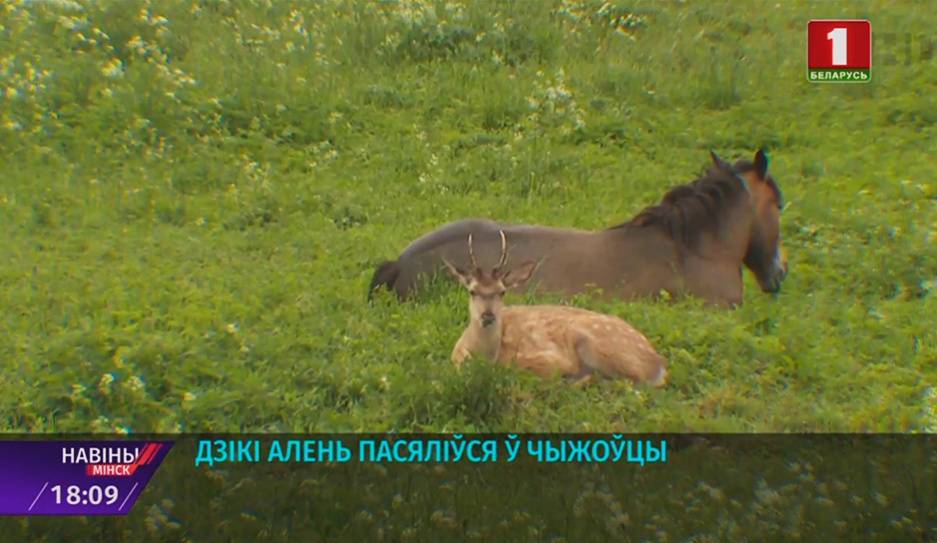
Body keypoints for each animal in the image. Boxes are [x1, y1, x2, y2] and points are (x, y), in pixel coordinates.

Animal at [443, 231, 668, 387]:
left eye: (502, 291)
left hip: (596, 343)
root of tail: (658, 364)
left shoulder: (548, 358)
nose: (488, 316)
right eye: (472, 291)